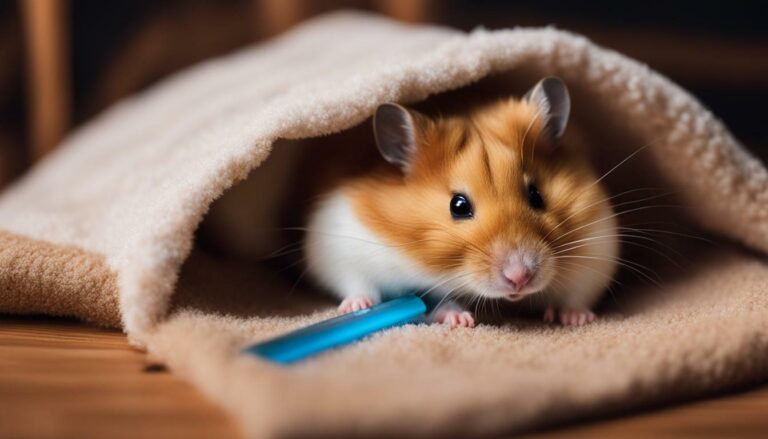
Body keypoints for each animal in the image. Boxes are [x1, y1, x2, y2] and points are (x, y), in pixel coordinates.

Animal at [304, 77, 619, 327]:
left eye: (536, 195)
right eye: (458, 206)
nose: (519, 279)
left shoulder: (596, 249)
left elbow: (577, 295)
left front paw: (578, 319)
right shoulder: (343, 247)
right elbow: (360, 284)